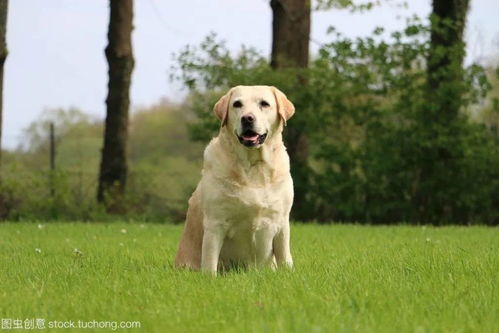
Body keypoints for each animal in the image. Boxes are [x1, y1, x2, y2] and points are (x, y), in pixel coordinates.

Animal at [176, 85, 294, 274]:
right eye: (237, 104)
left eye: (264, 104)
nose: (247, 118)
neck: (253, 165)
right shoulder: (215, 223)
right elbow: (210, 261)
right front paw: (209, 277)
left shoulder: (282, 221)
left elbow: (284, 256)